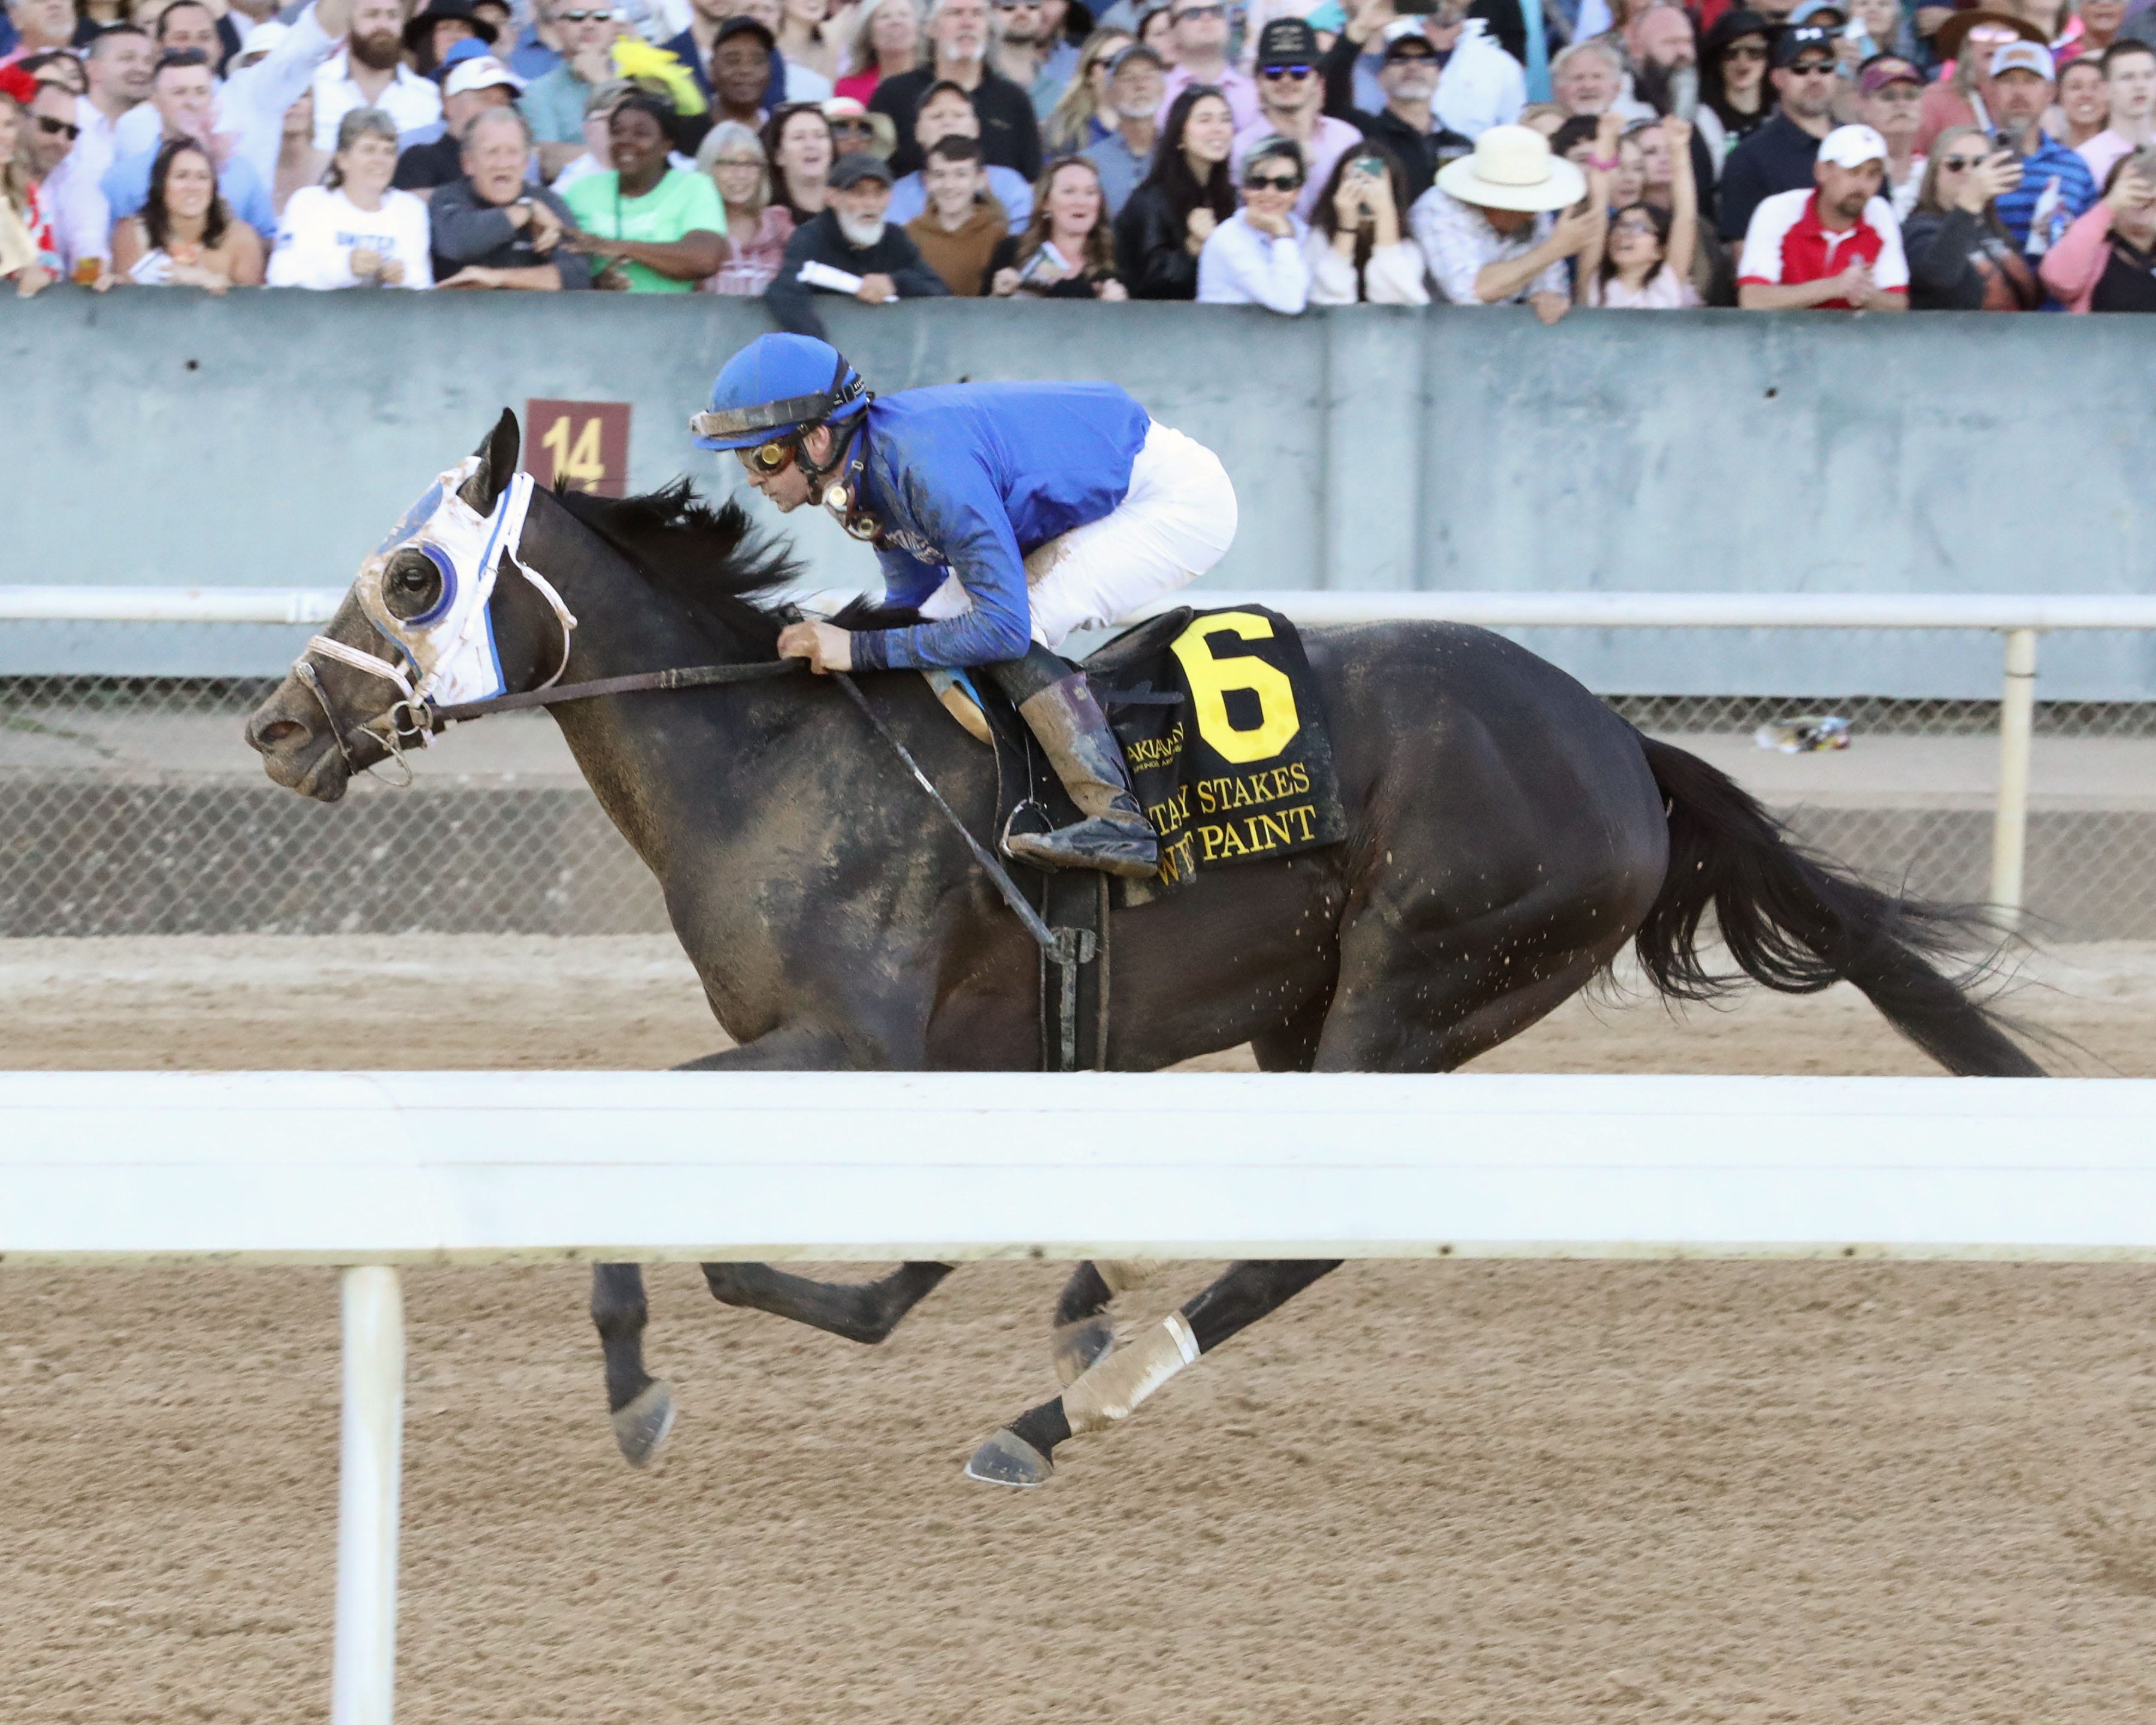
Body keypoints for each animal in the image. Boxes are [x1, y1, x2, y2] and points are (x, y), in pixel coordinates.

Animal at [248, 414, 2035, 1483]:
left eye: (413, 574)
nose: (274, 725)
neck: (767, 749)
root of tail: (1623, 745)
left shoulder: (854, 1046)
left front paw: (638, 1386)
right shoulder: (961, 1063)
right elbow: (905, 1253)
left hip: (1415, 989)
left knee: (1298, 1240)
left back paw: (1069, 1409)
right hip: (1310, 1013)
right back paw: (1083, 1341)